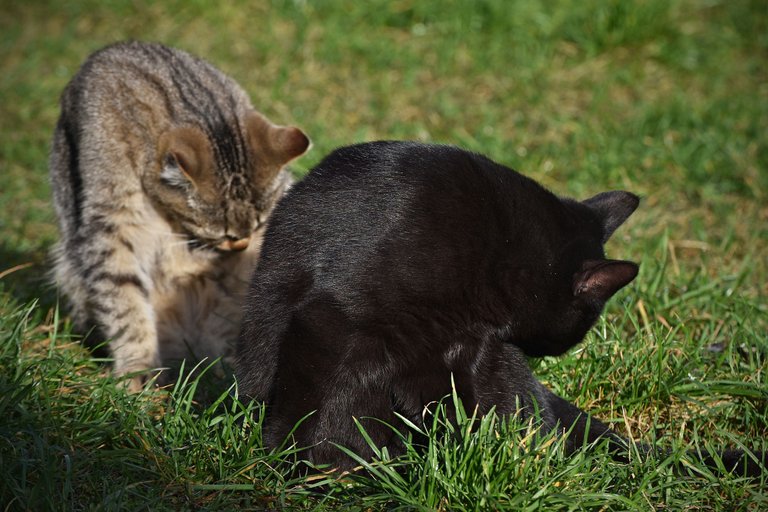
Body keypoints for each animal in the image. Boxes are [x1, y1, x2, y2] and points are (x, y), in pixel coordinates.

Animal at [49, 41, 308, 392]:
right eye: (221, 234)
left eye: (260, 225)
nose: (241, 246)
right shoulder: (110, 225)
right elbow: (125, 301)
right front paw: (138, 368)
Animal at [237, 141, 764, 476]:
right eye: (582, 325)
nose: (551, 353)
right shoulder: (338, 322)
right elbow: (327, 408)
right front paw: (331, 469)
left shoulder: (462, 350)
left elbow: (467, 409)